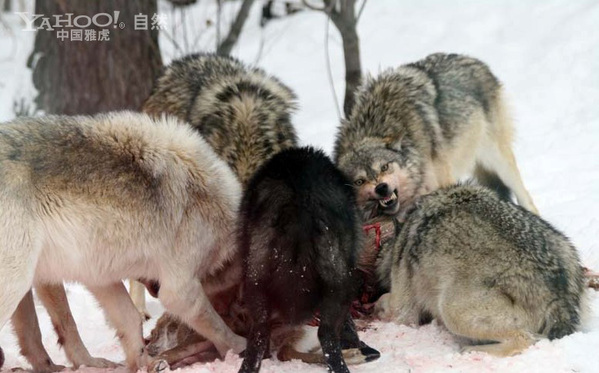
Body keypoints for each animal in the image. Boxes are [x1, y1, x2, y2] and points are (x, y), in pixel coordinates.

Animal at [237, 146, 378, 372]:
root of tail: (298, 196)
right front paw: (355, 344)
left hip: (255, 281)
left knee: (259, 336)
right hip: (341, 284)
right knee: (327, 335)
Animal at [332, 50, 540, 217]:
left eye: (385, 167)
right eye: (359, 181)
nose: (381, 188)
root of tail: (472, 60)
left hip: (498, 160)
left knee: (527, 198)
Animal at [378, 185, 584, 356]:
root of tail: (559, 296)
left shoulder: (403, 308)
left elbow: (388, 304)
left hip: (452, 309)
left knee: (524, 339)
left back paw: (471, 350)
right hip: (567, 249)